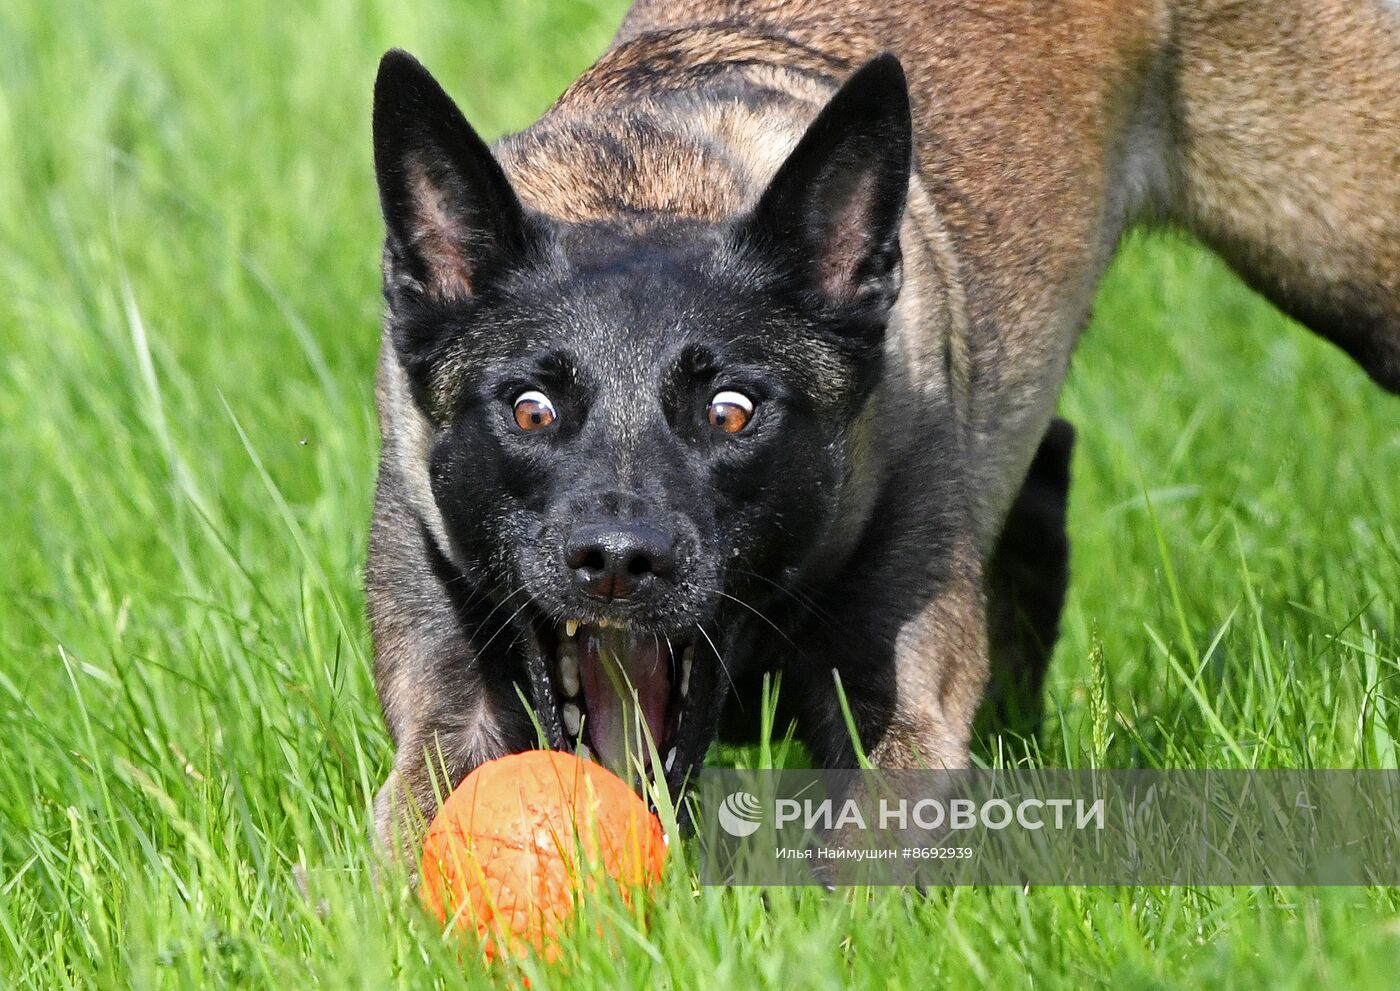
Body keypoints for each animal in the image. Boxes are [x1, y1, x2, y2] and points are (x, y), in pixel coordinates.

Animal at [366, 0, 1400, 851]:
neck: (652, 182)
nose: (618, 561)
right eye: (530, 408)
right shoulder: (446, 717)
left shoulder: (897, 717)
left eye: (732, 411)